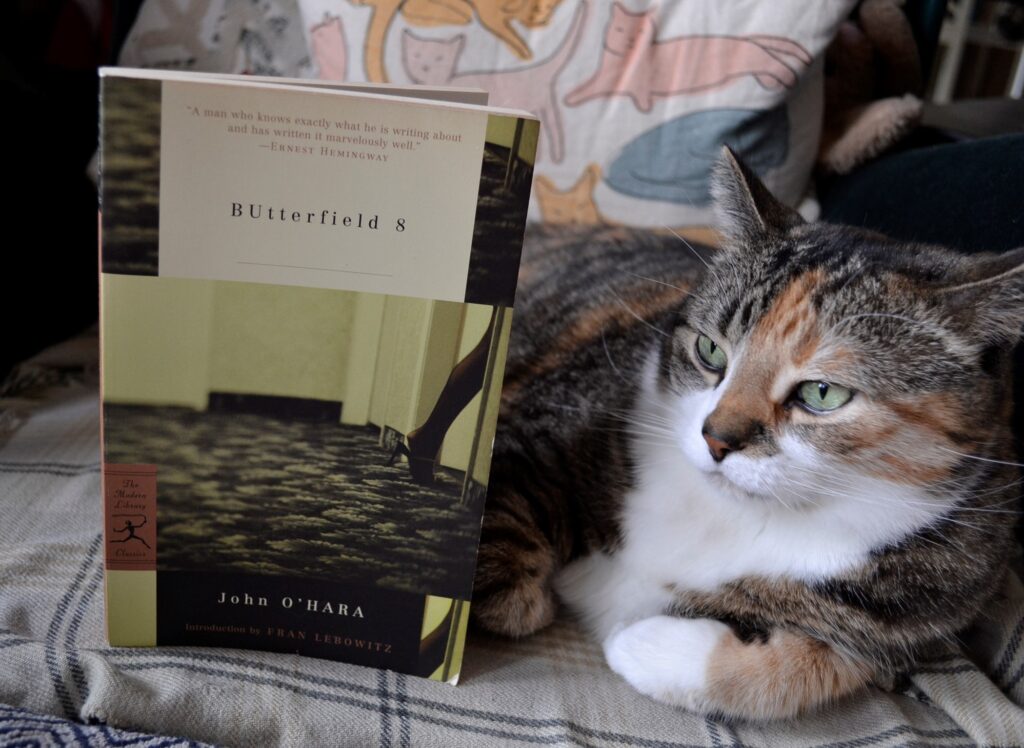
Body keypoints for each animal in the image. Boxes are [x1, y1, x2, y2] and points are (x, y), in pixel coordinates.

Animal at [350, 0, 561, 82]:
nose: (544, 19)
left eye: (550, 9)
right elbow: (505, 31)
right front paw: (522, 49)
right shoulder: (489, 14)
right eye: (541, 10)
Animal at [473, 149, 1024, 717]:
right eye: (710, 351)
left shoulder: (905, 623)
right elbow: (509, 563)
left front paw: (638, 644)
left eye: (822, 393)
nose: (716, 438)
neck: (735, 517)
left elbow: (816, 666)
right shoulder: (551, 425)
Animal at [565, 3, 811, 113]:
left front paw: (644, 106)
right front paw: (571, 98)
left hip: (754, 57)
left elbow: (639, 96)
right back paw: (772, 81)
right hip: (754, 62)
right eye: (620, 30)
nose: (631, 42)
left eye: (641, 31)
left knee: (775, 62)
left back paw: (789, 77)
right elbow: (586, 88)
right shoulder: (603, 80)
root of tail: (746, 39)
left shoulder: (633, 84)